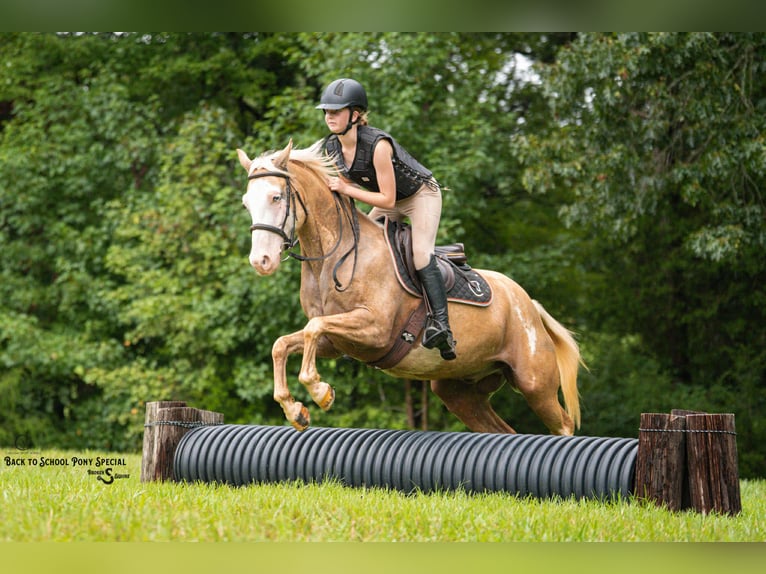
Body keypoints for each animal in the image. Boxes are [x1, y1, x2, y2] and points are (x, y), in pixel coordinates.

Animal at [237, 140, 582, 435]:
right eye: (246, 204)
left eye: (276, 197)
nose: (261, 261)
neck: (334, 257)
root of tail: (528, 305)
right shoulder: (335, 343)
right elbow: (283, 344)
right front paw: (295, 410)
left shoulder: (374, 329)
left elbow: (312, 328)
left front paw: (321, 392)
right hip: (460, 390)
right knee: (501, 431)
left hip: (533, 380)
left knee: (563, 425)